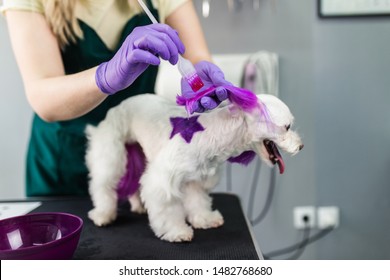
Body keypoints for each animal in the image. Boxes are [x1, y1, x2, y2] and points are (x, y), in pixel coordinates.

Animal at [86, 93, 304, 242]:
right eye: (286, 127)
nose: (301, 146)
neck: (213, 132)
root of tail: (118, 106)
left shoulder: (195, 177)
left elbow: (197, 201)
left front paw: (204, 219)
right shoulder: (163, 181)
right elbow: (168, 209)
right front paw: (177, 231)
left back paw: (137, 205)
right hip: (112, 154)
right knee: (103, 186)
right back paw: (103, 214)